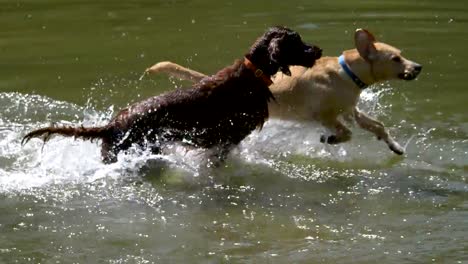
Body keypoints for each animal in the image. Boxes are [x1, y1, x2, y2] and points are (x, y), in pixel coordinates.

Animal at [145, 28, 420, 155]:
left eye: (401, 54)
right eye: (395, 59)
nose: (418, 67)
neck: (347, 72)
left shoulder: (351, 111)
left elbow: (377, 126)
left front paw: (396, 146)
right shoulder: (326, 115)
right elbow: (346, 133)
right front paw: (329, 139)